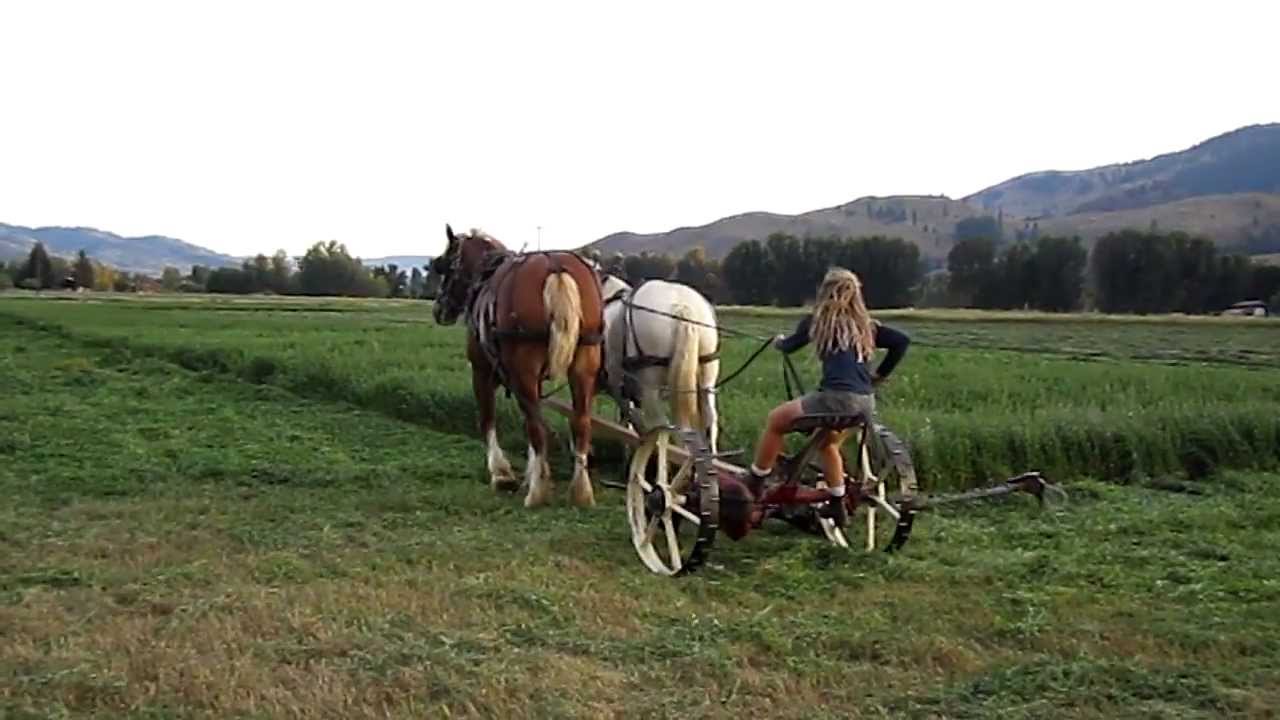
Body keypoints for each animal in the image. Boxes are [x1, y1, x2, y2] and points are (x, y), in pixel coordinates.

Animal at [431, 225, 605, 508]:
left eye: (444, 266)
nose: (439, 309)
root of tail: (555, 267)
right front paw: (535, 472)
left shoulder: (482, 372)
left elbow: (488, 420)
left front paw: (501, 474)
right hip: (584, 365)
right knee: (580, 424)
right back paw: (580, 491)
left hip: (523, 368)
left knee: (537, 428)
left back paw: (537, 494)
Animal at [599, 274, 721, 453]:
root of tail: (681, 307)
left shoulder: (617, 382)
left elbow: (628, 415)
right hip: (707, 378)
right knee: (709, 421)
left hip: (650, 384)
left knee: (660, 425)